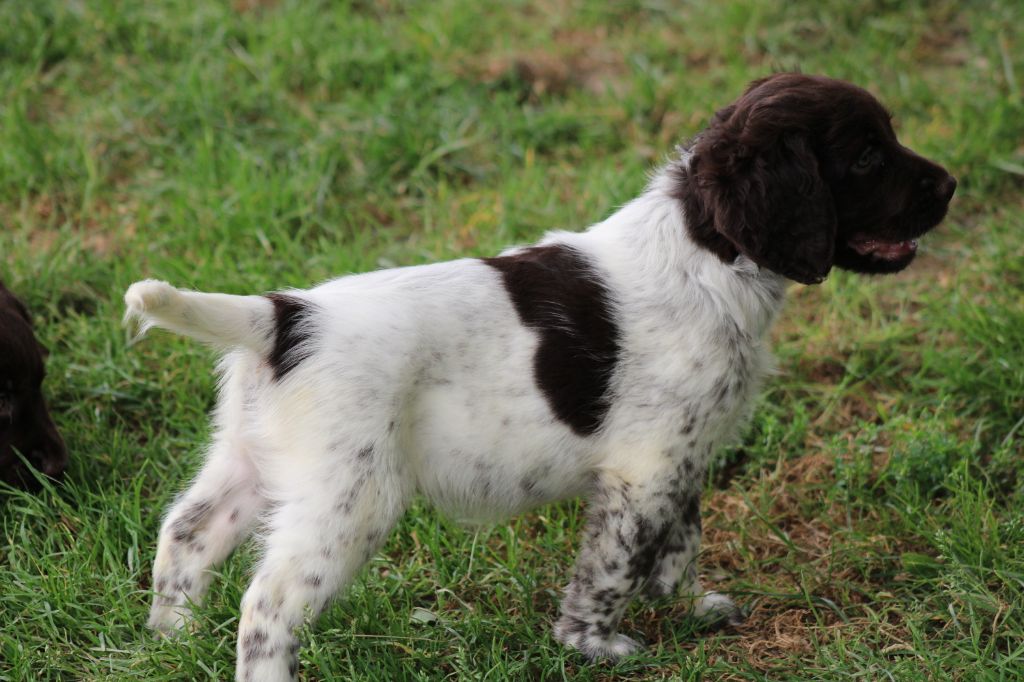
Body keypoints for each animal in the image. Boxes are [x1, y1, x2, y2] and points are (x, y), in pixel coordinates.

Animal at [123, 74, 954, 675]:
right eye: (867, 156)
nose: (948, 186)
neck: (705, 252)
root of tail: (285, 316)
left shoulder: (679, 457)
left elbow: (678, 542)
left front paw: (688, 608)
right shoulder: (644, 470)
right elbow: (612, 567)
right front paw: (594, 646)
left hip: (249, 463)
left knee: (185, 534)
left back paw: (170, 641)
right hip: (348, 497)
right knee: (268, 605)